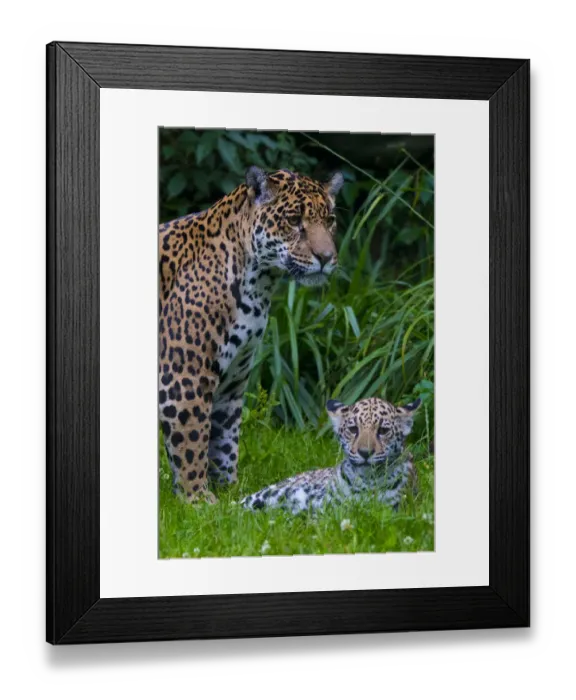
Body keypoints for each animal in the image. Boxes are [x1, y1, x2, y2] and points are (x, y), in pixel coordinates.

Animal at [159, 167, 343, 502]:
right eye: (294, 220)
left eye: (330, 220)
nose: (326, 257)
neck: (258, 283)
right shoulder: (184, 378)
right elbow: (192, 441)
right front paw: (197, 499)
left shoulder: (233, 380)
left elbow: (224, 439)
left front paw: (228, 493)